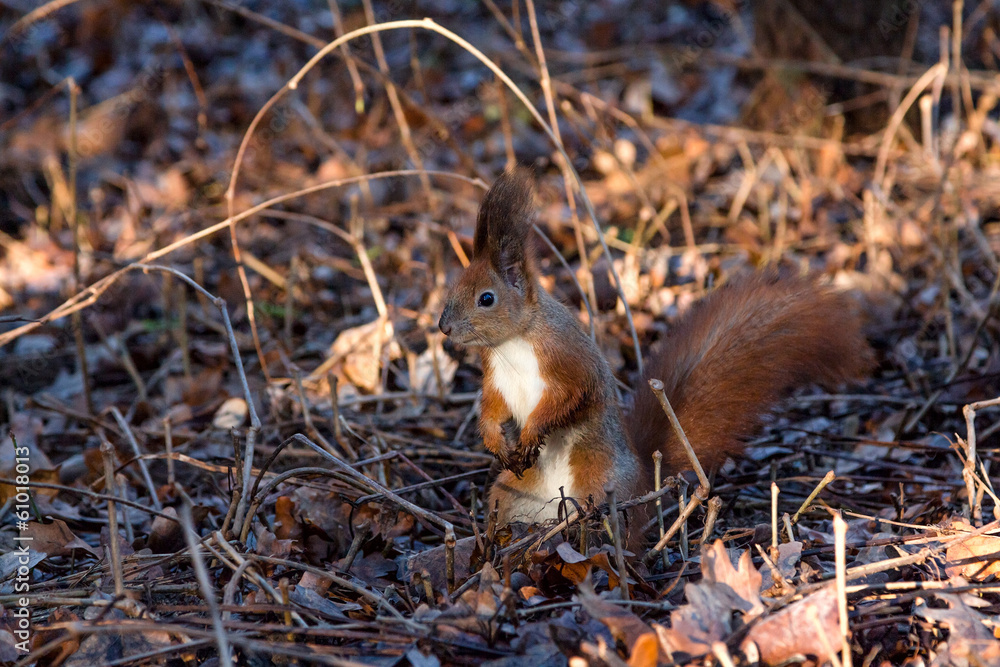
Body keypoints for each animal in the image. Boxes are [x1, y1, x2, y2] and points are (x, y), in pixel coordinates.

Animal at [438, 168, 873, 535]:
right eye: (452, 287)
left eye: (486, 298)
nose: (443, 327)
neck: (512, 343)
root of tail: (647, 476)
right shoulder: (496, 376)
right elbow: (492, 408)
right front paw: (497, 443)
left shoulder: (564, 358)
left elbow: (568, 394)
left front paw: (530, 434)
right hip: (511, 493)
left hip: (602, 481)